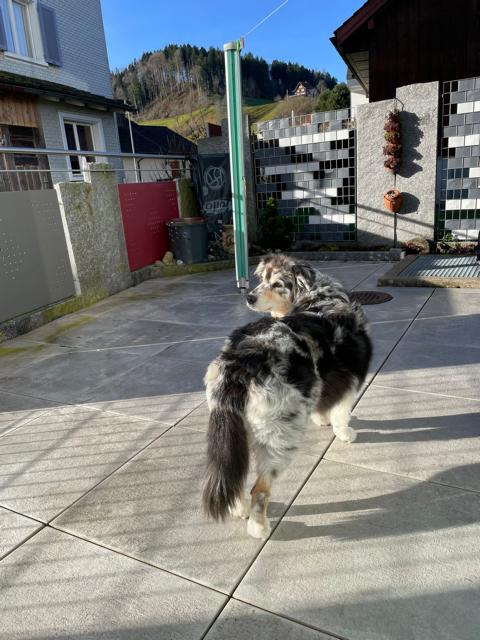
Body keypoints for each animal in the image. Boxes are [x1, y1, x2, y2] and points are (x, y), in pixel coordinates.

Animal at [203, 255, 372, 539]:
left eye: (276, 283)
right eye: (262, 279)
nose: (249, 296)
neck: (319, 295)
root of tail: (238, 362)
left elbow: (322, 403)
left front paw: (321, 419)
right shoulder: (350, 376)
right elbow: (341, 411)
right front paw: (344, 432)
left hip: (234, 431)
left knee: (235, 475)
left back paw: (240, 508)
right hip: (281, 435)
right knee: (260, 488)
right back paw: (259, 527)